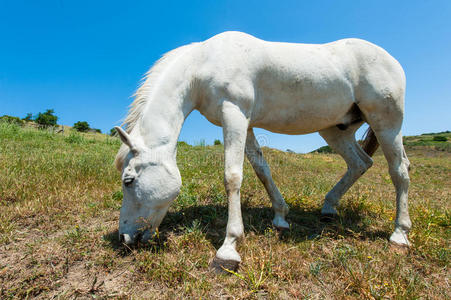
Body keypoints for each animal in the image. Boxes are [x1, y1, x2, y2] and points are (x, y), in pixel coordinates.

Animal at [114, 31, 414, 270]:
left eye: (128, 180)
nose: (124, 238)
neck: (204, 64)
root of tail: (392, 60)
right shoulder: (244, 124)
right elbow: (261, 170)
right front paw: (280, 217)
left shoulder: (234, 114)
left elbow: (233, 177)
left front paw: (229, 248)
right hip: (335, 130)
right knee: (360, 163)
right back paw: (329, 208)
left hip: (387, 122)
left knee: (399, 171)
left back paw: (400, 234)